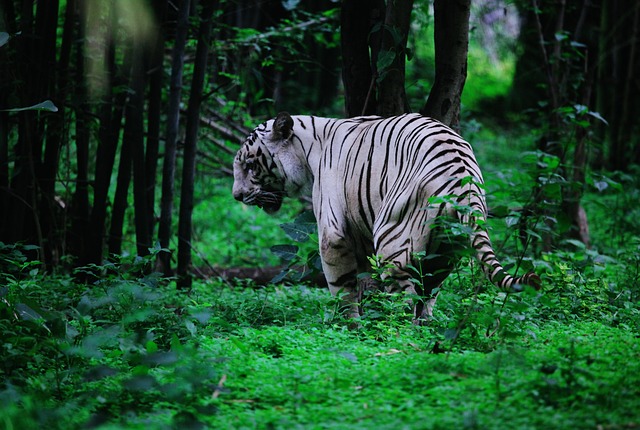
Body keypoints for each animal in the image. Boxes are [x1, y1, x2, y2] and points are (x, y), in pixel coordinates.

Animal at [232, 112, 541, 323]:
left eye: (249, 165)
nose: (236, 195)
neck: (308, 150)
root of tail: (462, 172)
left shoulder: (333, 231)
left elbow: (341, 287)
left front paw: (348, 326)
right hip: (446, 249)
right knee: (427, 295)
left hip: (393, 240)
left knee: (405, 299)